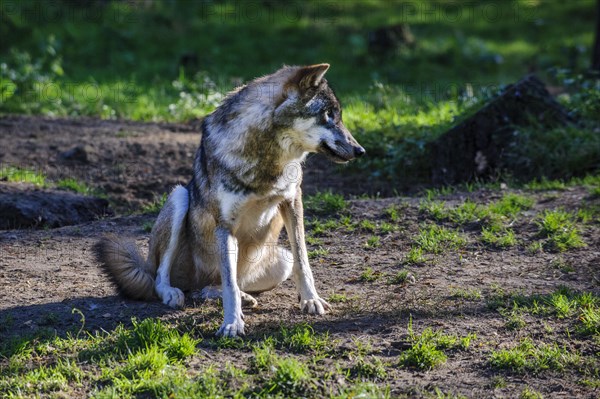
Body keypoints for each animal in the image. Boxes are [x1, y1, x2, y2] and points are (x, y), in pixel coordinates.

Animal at [95, 65, 366, 338]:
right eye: (328, 115)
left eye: (337, 115)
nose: (360, 151)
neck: (267, 161)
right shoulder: (225, 225)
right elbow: (229, 285)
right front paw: (232, 323)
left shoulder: (293, 202)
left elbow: (303, 262)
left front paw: (311, 300)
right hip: (179, 198)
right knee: (162, 279)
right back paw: (175, 293)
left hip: (281, 259)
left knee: (218, 285)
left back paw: (232, 295)